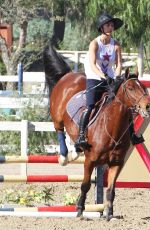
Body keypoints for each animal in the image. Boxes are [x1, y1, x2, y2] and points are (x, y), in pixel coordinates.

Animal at [43, 44, 150, 220]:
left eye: (143, 87)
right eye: (130, 88)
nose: (147, 106)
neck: (112, 127)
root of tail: (69, 74)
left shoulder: (117, 163)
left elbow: (111, 190)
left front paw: (109, 214)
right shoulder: (90, 161)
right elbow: (85, 185)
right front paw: (80, 209)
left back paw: (75, 151)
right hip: (57, 115)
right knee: (59, 129)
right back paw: (65, 156)